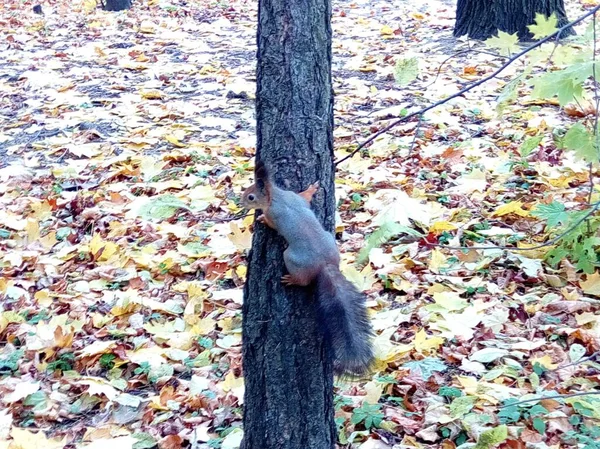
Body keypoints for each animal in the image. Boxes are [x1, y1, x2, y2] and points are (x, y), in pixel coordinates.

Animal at [240, 161, 372, 374]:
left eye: (251, 196)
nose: (241, 202)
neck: (277, 196)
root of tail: (325, 264)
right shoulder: (296, 198)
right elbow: (305, 197)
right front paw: (312, 188)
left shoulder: (274, 214)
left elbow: (271, 223)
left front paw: (261, 220)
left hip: (291, 258)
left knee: (303, 281)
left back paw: (291, 280)